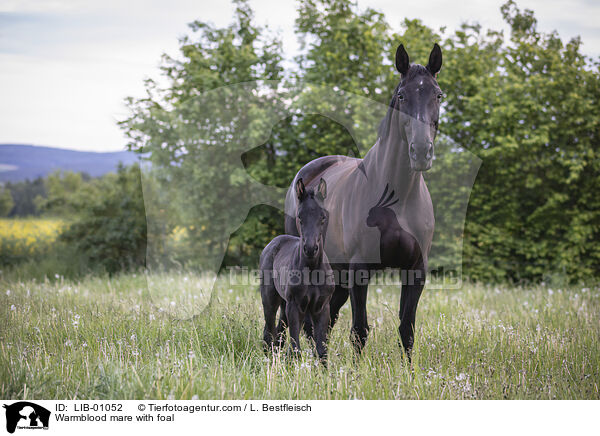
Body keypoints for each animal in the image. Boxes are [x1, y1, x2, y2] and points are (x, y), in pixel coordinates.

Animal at [258, 176, 336, 362]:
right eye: (300, 216)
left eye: (323, 217)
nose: (310, 248)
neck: (313, 269)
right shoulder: (295, 306)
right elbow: (295, 349)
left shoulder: (322, 308)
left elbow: (321, 349)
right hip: (270, 300)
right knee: (269, 333)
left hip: (284, 303)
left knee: (278, 334)